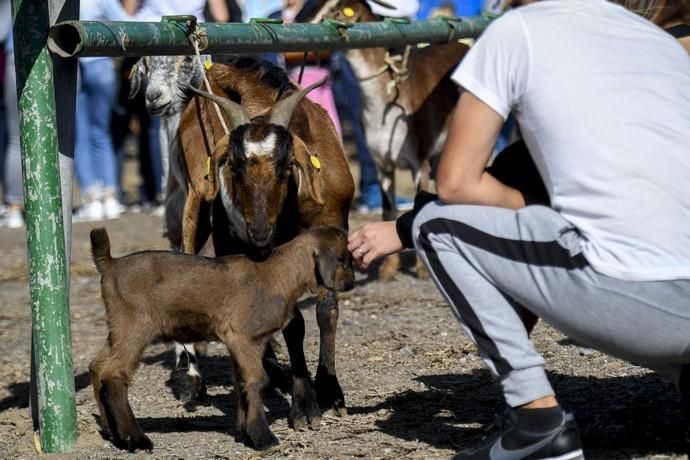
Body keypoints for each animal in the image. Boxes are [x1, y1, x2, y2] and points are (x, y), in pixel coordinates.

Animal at [88, 228, 352, 452]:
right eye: (343, 257)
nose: (350, 280)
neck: (277, 274)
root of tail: (110, 263)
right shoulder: (244, 337)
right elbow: (257, 381)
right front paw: (263, 438)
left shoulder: (240, 343)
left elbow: (242, 382)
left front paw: (245, 434)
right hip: (135, 326)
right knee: (114, 374)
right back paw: (136, 439)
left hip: (118, 327)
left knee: (97, 367)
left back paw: (112, 433)